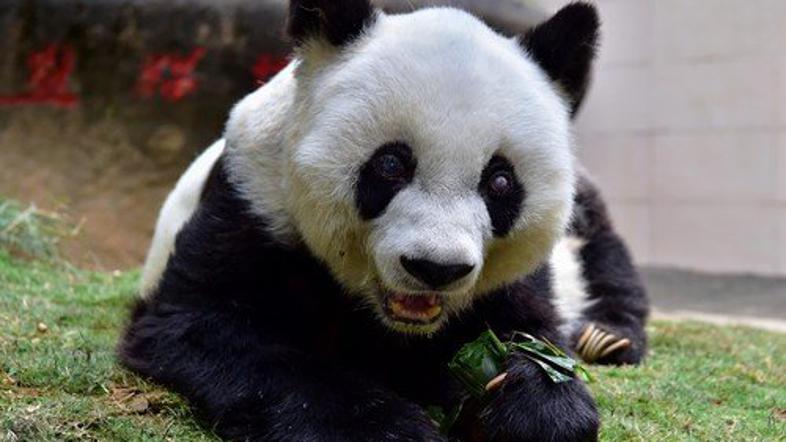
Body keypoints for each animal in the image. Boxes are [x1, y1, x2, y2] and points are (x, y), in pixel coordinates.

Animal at [121, 1, 649, 441]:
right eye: (391, 164)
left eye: (500, 181)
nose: (436, 268)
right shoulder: (255, 199)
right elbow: (203, 324)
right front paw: (385, 427)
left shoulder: (516, 278)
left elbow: (531, 331)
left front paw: (534, 405)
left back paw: (605, 337)